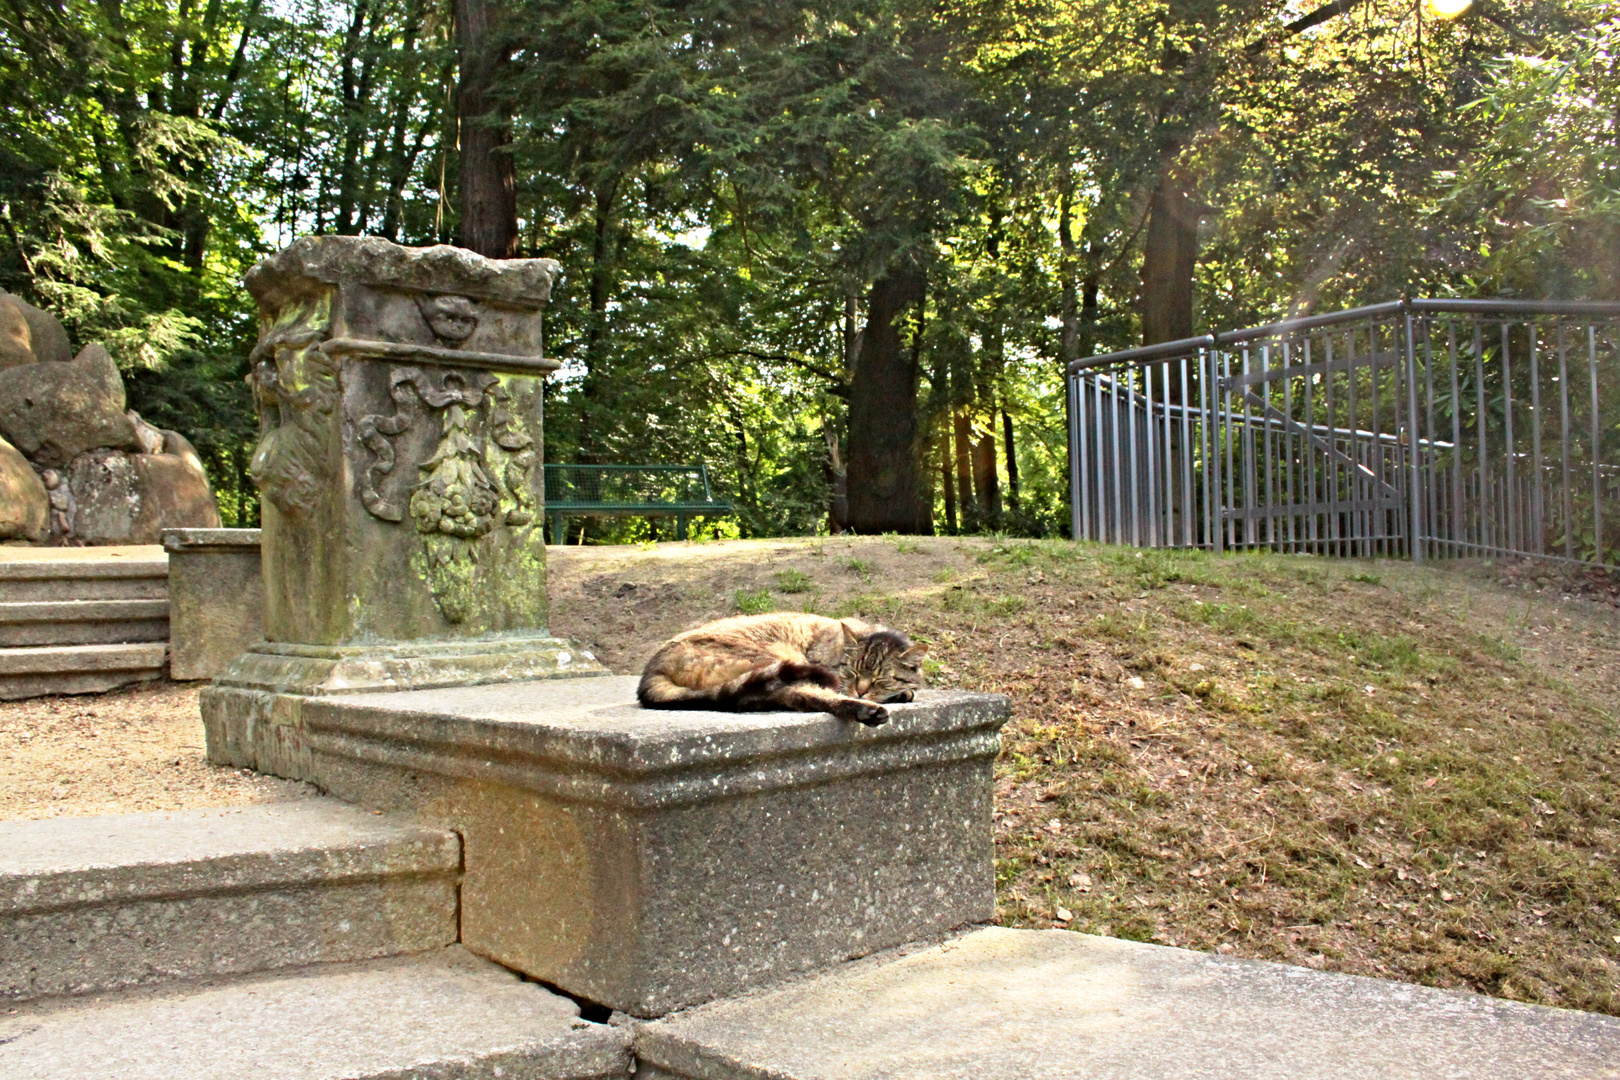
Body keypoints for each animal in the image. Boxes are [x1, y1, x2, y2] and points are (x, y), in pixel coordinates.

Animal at [638, 615, 933, 725]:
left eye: (880, 679)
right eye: (852, 672)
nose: (860, 691)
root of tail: (652, 668)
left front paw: (903, 693)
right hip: (773, 658)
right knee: (798, 694)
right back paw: (866, 711)